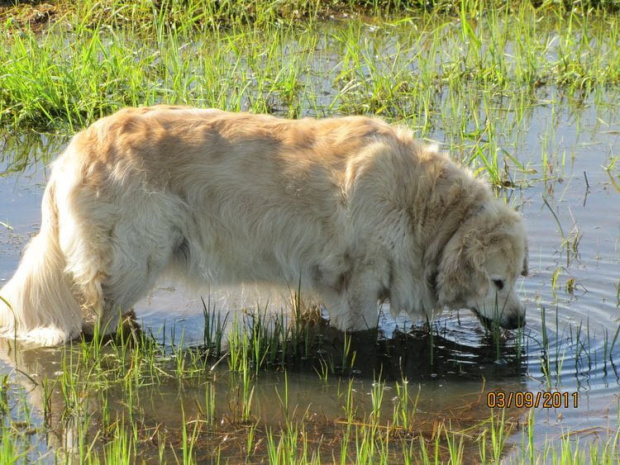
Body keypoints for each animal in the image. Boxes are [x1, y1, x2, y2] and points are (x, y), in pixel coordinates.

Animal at [0, 105, 528, 344]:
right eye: (497, 281)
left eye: (517, 278)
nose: (521, 322)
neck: (424, 208)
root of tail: (71, 152)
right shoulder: (359, 284)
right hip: (132, 260)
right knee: (104, 316)